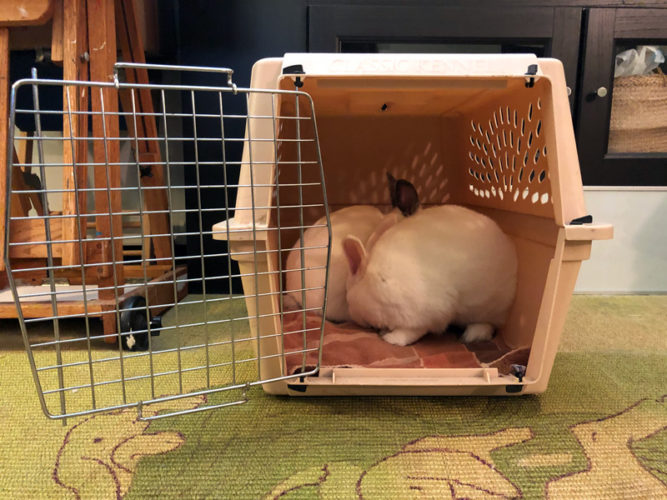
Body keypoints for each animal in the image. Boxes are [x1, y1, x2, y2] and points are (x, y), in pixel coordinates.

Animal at [342, 204, 517, 345]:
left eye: (348, 299)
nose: (353, 316)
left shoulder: (426, 315)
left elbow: (410, 332)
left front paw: (390, 339)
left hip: (490, 306)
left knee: (489, 324)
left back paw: (471, 336)